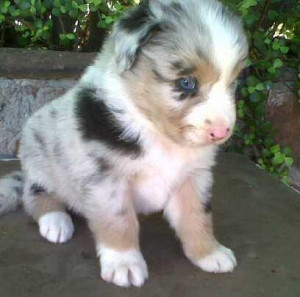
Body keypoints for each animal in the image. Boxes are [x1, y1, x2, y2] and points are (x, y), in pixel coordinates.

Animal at [0, 0, 248, 286]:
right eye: (186, 83)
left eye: (233, 82)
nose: (222, 132)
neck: (155, 131)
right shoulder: (105, 178)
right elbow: (119, 221)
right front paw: (124, 262)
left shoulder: (194, 177)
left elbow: (197, 216)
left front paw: (209, 253)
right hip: (38, 155)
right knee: (35, 194)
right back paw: (55, 220)